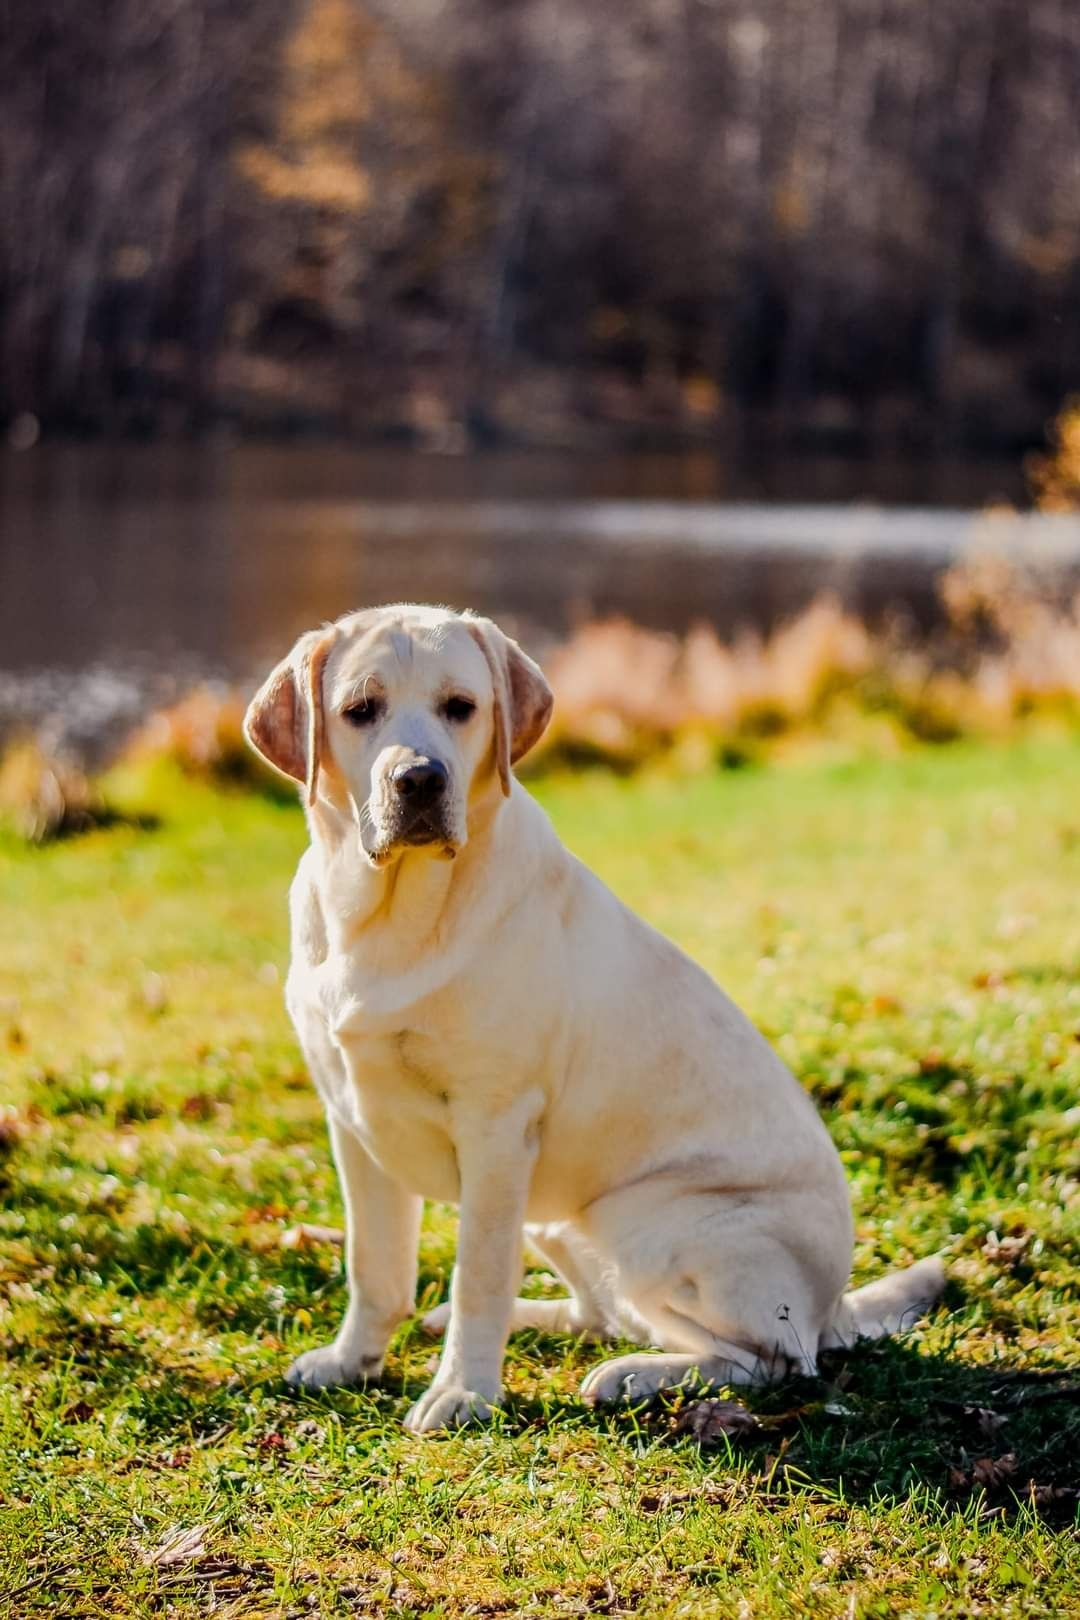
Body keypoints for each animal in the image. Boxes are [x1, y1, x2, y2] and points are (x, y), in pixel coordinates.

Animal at [244, 605, 945, 1432]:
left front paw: (464, 1391)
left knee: (768, 1359)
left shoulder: (494, 1129)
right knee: (603, 1313)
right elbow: (373, 1267)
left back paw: (634, 1377)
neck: (387, 916)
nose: (419, 778)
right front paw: (352, 1361)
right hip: (556, 1214)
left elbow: (478, 1273)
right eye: (360, 710)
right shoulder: (354, 1124)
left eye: (461, 707)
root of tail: (833, 1303)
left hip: (643, 1219)